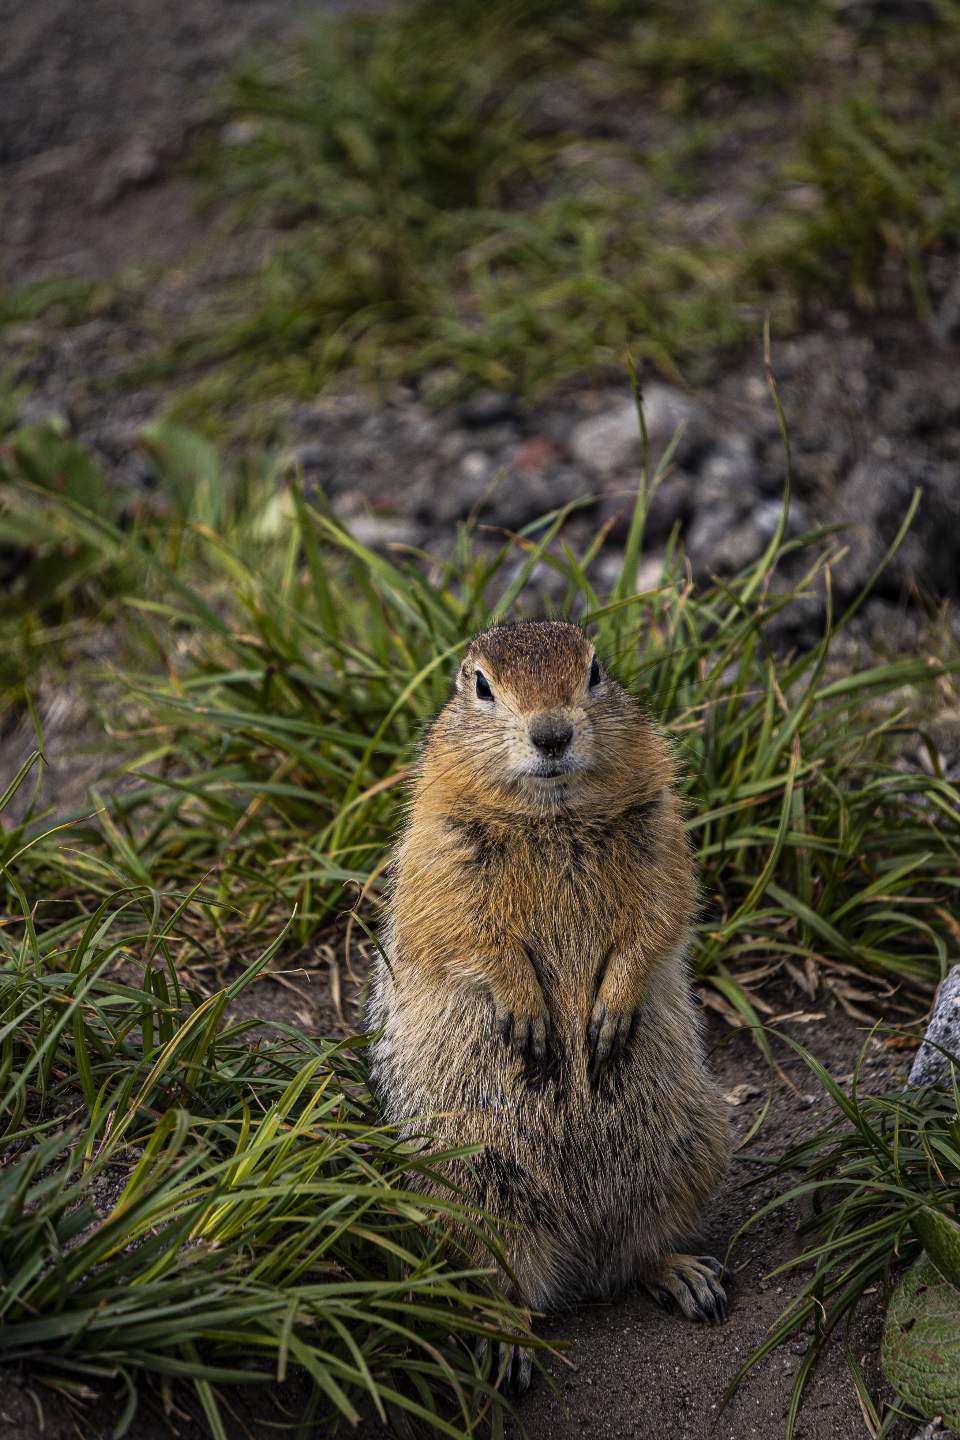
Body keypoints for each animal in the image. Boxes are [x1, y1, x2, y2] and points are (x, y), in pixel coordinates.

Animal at [368, 619, 728, 1382]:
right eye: (480, 684)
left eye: (595, 671)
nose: (552, 733)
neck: (551, 817)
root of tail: (579, 1259)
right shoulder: (438, 845)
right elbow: (465, 928)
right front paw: (529, 1013)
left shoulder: (660, 832)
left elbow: (662, 911)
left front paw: (611, 1010)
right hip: (465, 1183)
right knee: (498, 1277)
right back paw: (507, 1339)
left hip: (695, 1140)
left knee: (635, 1253)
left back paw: (684, 1275)